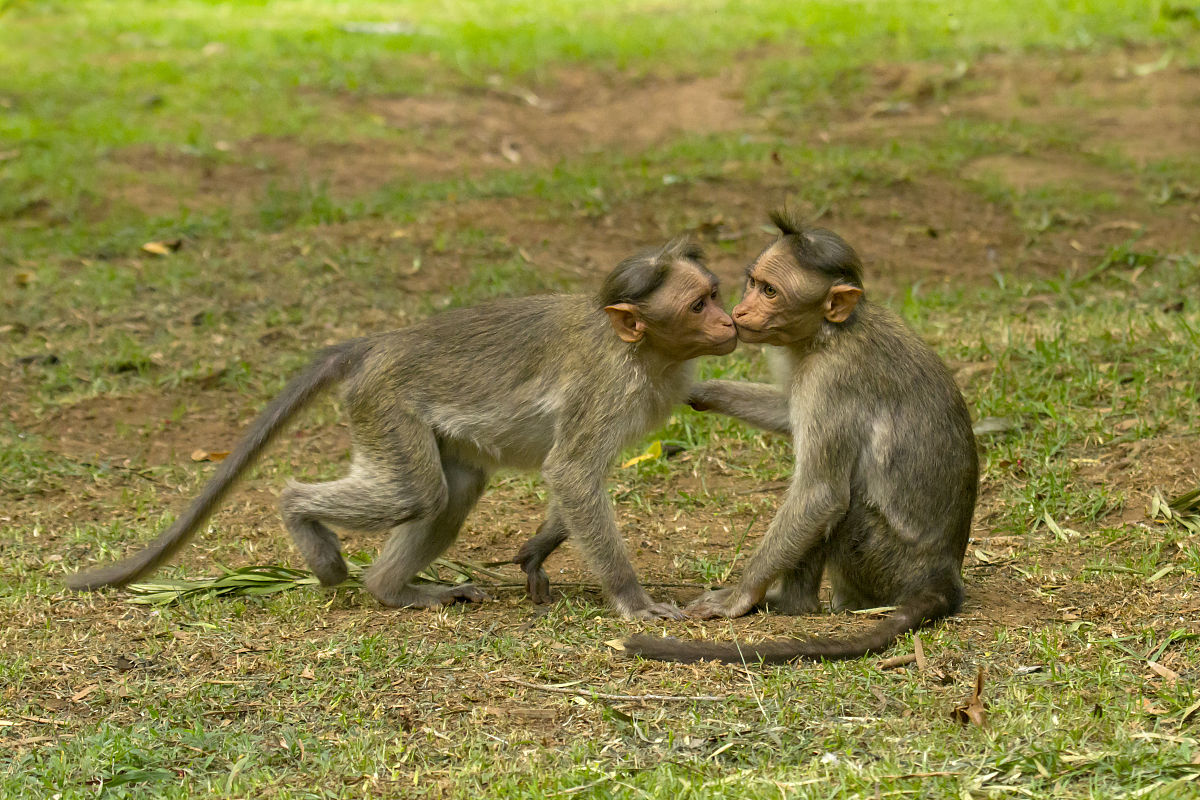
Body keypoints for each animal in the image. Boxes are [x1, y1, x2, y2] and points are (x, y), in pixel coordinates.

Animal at [70, 235, 739, 623]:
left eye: (713, 293)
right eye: (698, 305)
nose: (730, 321)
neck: (643, 351)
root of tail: (376, 344)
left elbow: (571, 479)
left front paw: (538, 550)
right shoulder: (608, 386)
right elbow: (573, 473)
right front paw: (634, 601)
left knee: (449, 494)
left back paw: (390, 589)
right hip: (384, 405)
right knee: (414, 493)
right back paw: (301, 518)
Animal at [619, 208, 974, 662]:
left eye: (771, 291)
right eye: (754, 282)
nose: (740, 310)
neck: (830, 333)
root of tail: (944, 576)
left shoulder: (831, 379)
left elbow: (821, 493)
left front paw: (738, 597)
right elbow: (786, 414)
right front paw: (701, 391)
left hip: (883, 562)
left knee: (842, 499)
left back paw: (793, 603)